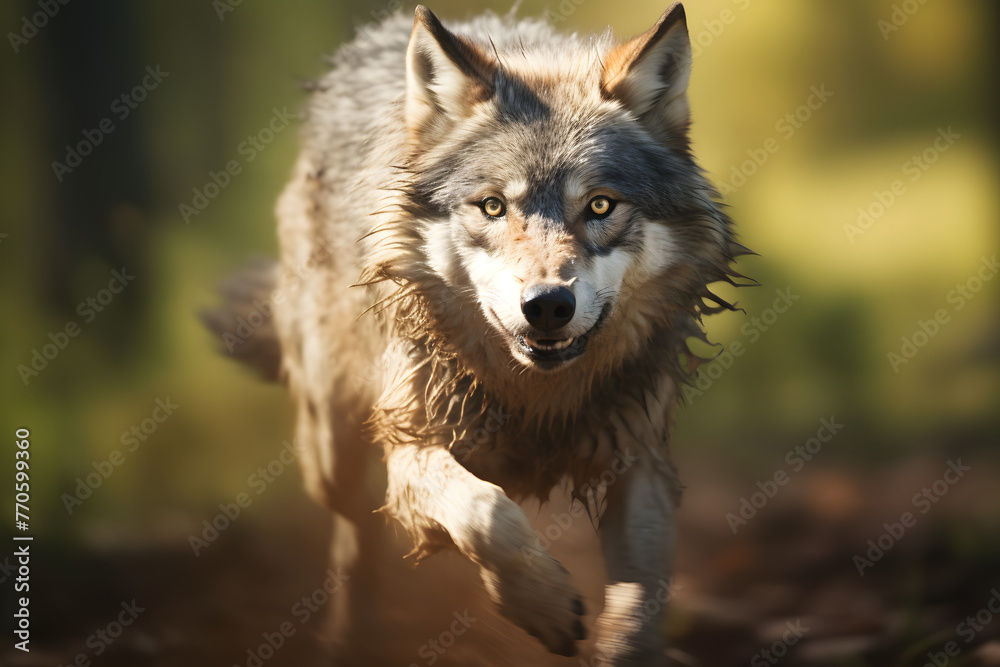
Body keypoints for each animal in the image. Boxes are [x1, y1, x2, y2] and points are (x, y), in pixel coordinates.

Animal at [206, 2, 748, 664]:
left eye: (599, 206)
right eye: (493, 207)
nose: (547, 306)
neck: (533, 397)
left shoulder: (639, 462)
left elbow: (638, 607)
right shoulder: (412, 446)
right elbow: (490, 512)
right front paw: (540, 602)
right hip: (332, 450)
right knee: (354, 530)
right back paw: (349, 636)